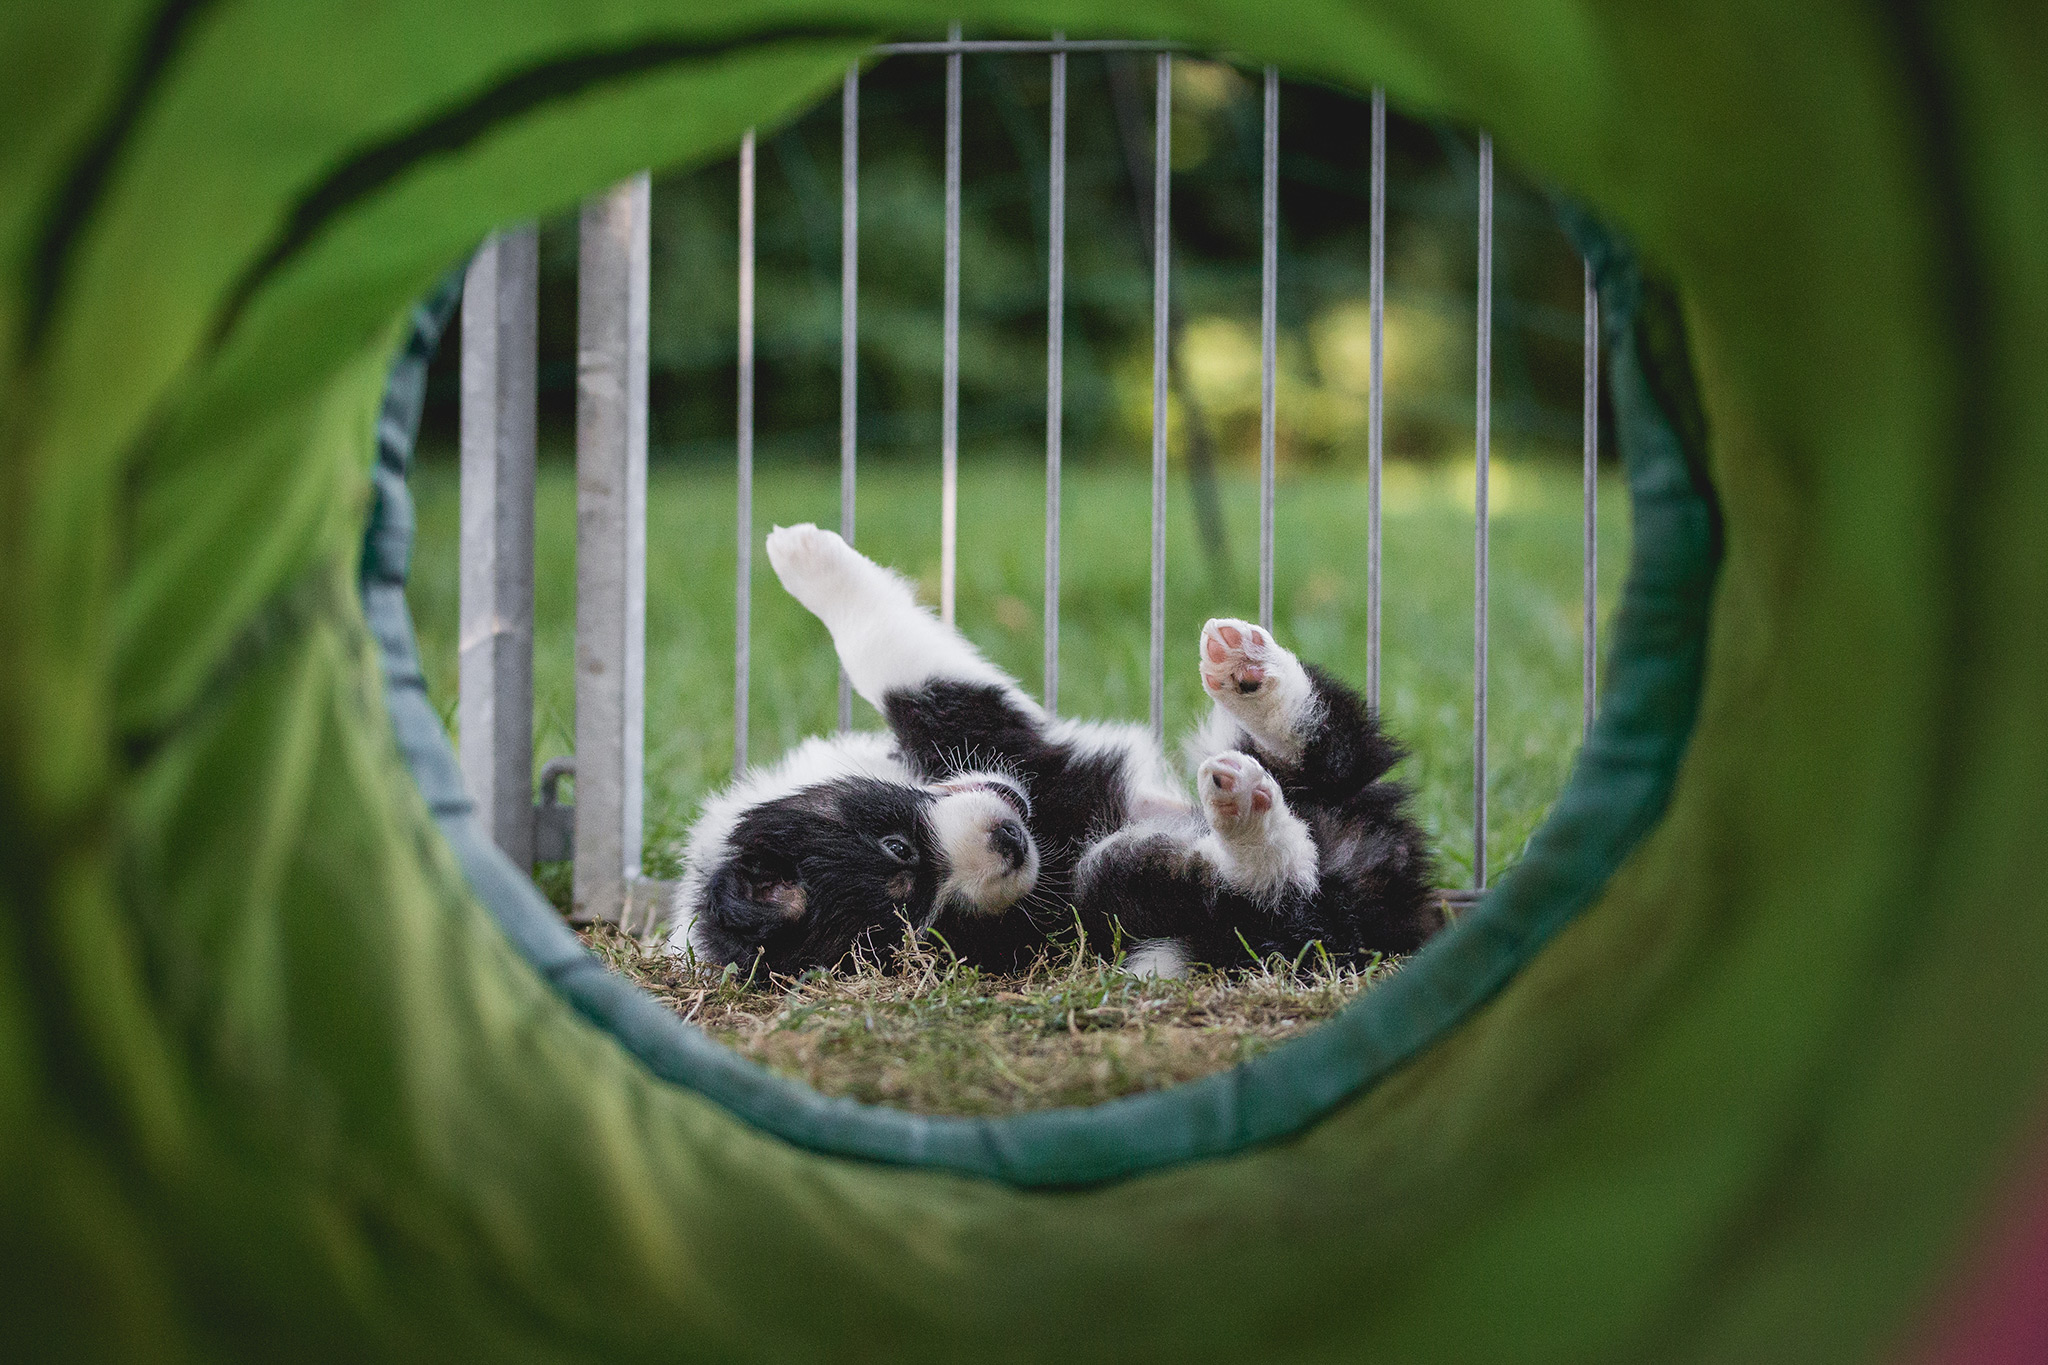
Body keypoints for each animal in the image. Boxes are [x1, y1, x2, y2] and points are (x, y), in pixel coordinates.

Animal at [663, 523, 1433, 982]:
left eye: (896, 845)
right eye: (929, 927)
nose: (1009, 844)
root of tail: (1382, 903)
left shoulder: (978, 732)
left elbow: (898, 659)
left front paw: (804, 557)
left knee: (1322, 744)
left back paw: (1250, 674)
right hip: (1162, 903)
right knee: (1267, 884)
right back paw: (1241, 816)